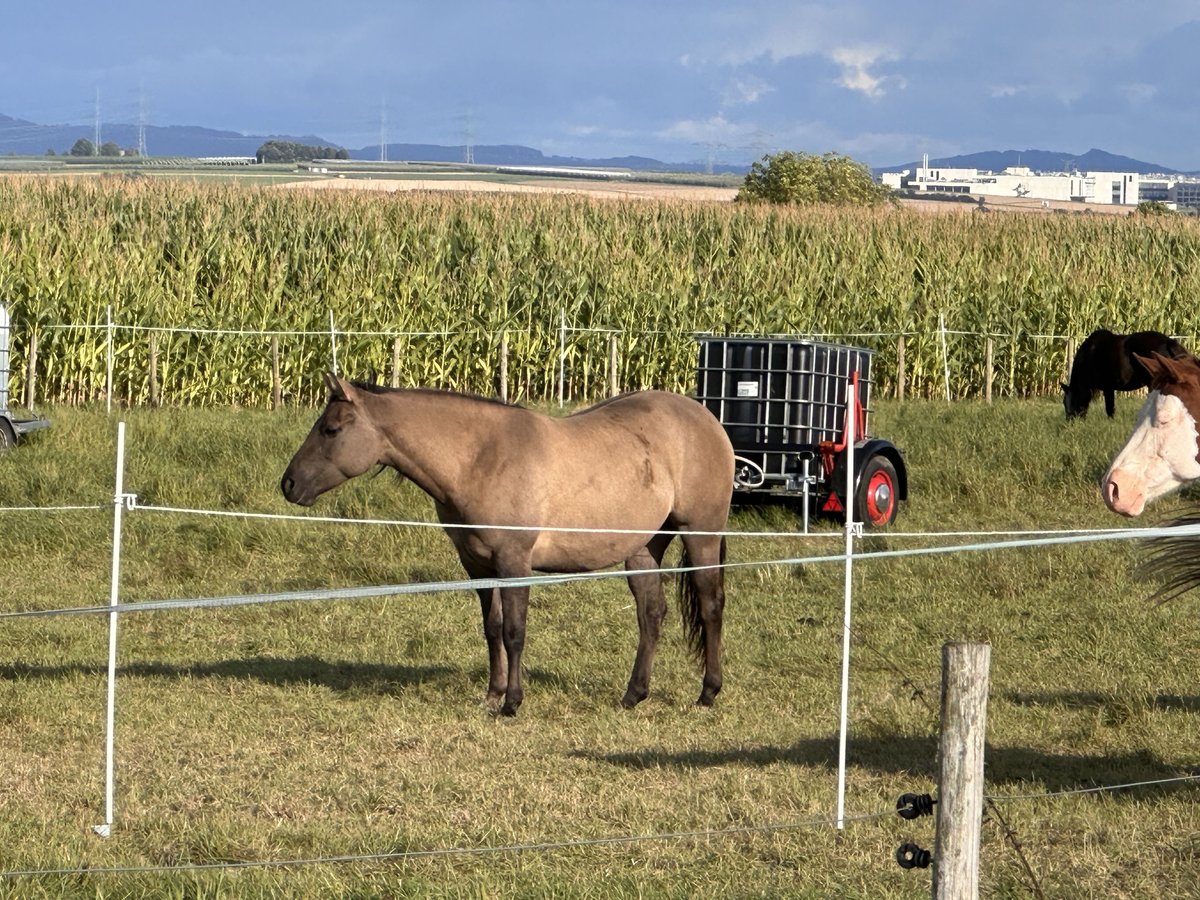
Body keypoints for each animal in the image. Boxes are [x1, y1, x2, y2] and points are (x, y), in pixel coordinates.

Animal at [280, 374, 734, 720]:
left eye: (331, 430)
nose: (288, 484)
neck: (479, 458)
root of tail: (706, 418)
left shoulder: (515, 562)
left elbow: (515, 631)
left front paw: (512, 702)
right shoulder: (478, 565)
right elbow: (493, 628)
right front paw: (492, 694)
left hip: (700, 535)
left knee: (710, 605)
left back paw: (708, 692)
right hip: (643, 548)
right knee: (651, 614)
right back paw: (633, 694)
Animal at [1060, 328, 1190, 422]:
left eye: (1071, 401)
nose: (1070, 422)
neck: (1090, 355)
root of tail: (1168, 342)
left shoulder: (1108, 387)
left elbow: (1109, 408)